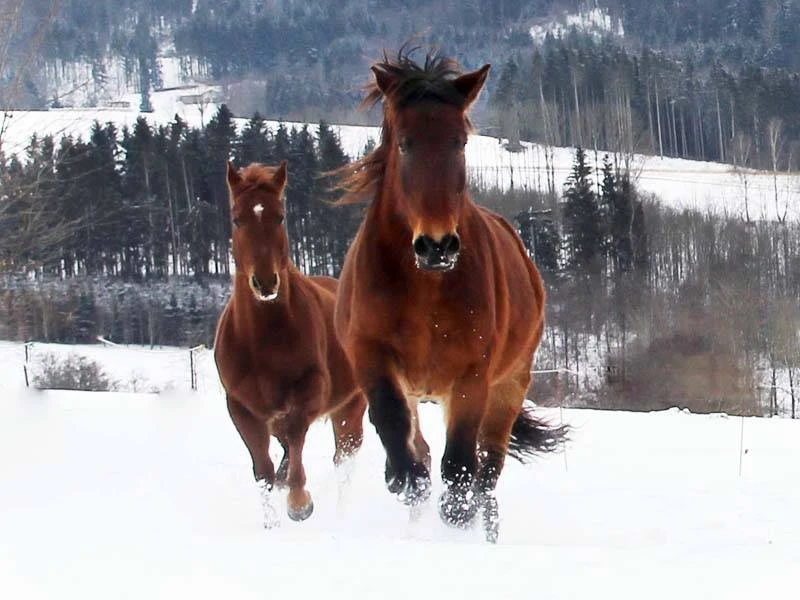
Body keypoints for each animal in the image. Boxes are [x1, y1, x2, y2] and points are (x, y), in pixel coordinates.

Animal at [214, 160, 367, 524]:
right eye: (237, 218)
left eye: (280, 216)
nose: (265, 281)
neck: (262, 339)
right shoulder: (242, 408)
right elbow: (263, 472)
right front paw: (271, 524)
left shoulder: (310, 392)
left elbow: (296, 440)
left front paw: (299, 503)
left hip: (350, 408)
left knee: (343, 462)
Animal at [334, 50, 566, 542]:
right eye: (404, 143)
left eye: (459, 142)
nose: (437, 245)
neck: (423, 289)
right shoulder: (372, 359)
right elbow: (397, 437)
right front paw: (403, 480)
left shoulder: (472, 377)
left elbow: (460, 471)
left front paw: (454, 521)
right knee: (424, 448)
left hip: (508, 387)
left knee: (487, 474)